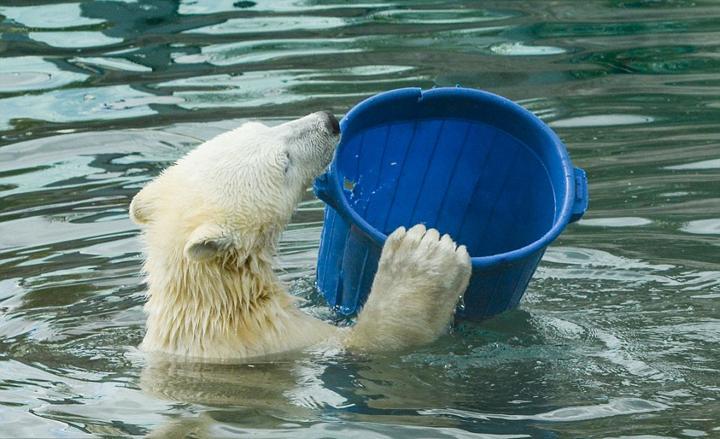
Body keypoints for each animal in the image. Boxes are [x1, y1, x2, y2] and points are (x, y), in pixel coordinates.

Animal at [131, 111, 472, 360]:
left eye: (261, 126)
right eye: (285, 161)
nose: (329, 121)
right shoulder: (284, 340)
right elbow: (369, 344)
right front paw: (424, 255)